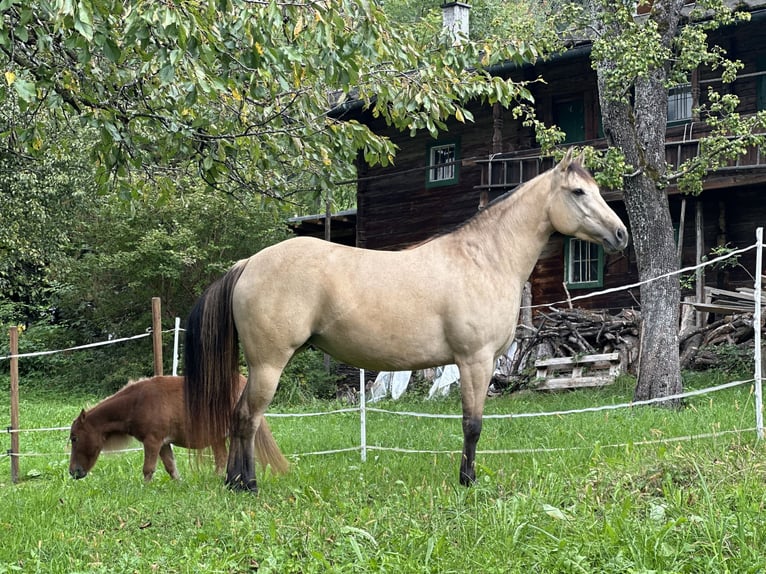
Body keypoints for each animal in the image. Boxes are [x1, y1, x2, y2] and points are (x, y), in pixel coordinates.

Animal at [69, 374, 287, 481]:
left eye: (74, 438)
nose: (73, 472)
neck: (137, 402)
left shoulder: (153, 441)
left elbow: (148, 468)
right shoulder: (164, 443)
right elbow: (170, 467)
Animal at [184, 149, 629, 492]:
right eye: (578, 192)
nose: (621, 234)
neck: (484, 258)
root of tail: (248, 263)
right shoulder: (475, 360)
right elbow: (472, 424)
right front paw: (467, 482)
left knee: (239, 416)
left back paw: (233, 482)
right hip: (268, 364)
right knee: (247, 418)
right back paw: (247, 485)